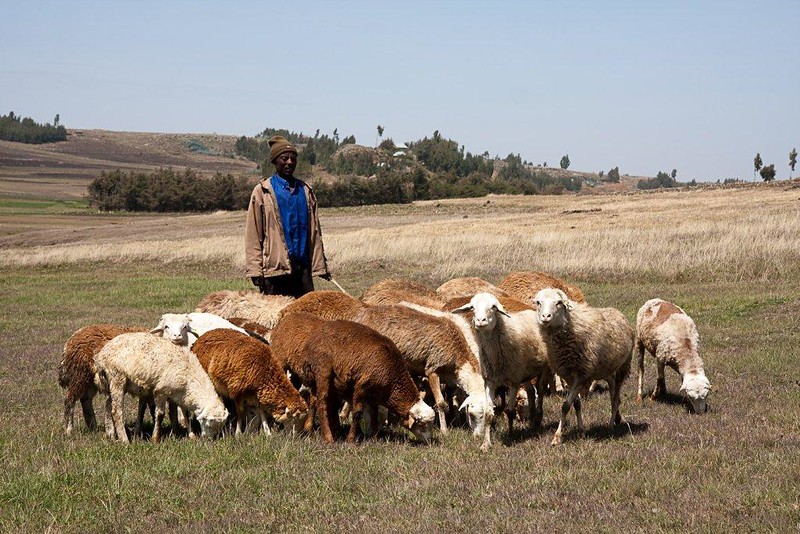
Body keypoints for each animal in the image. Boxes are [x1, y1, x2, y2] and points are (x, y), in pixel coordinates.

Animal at [93, 333, 229, 443]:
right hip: (117, 378)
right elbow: (160, 414)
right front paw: (156, 438)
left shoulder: (180, 395)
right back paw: (124, 440)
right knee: (116, 411)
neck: (189, 376)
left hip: (111, 382)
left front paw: (190, 435)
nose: (209, 440)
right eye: (210, 424)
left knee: (108, 406)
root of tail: (101, 355)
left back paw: (111, 434)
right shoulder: (161, 391)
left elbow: (185, 414)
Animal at [301, 319, 436, 444]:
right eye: (422, 425)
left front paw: (375, 438)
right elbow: (357, 412)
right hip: (322, 370)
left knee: (318, 401)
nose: (429, 441)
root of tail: (314, 338)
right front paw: (350, 440)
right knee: (322, 403)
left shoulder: (375, 394)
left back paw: (320, 430)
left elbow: (374, 414)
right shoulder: (362, 386)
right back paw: (329, 438)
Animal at [352, 304, 489, 436]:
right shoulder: (432, 369)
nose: (479, 436)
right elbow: (441, 403)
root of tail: (361, 315)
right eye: (472, 415)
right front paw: (444, 430)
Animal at [451, 293, 553, 451]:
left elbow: (510, 411)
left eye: (493, 307)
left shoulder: (513, 382)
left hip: (543, 368)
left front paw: (510, 435)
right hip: (524, 372)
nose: (480, 321)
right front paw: (486, 444)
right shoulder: (490, 381)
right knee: (530, 391)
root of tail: (532, 313)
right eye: (472, 307)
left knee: (540, 390)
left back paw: (537, 419)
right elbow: (488, 413)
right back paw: (530, 421)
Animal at [534, 288, 633, 445]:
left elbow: (565, 406)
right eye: (538, 302)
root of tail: (617, 312)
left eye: (559, 302)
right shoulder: (568, 376)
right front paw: (581, 432)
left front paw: (557, 437)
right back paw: (615, 419)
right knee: (613, 396)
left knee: (616, 398)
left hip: (622, 368)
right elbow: (576, 404)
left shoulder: (581, 374)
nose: (545, 317)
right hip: (607, 370)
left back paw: (610, 427)